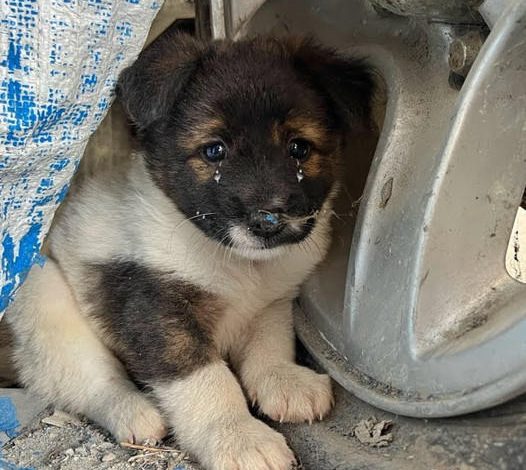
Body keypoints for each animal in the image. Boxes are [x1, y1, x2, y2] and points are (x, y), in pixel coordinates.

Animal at [5, 30, 376, 470]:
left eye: (299, 148)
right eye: (214, 150)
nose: (269, 222)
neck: (237, 264)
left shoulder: (270, 302)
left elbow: (270, 344)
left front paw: (284, 381)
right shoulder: (156, 310)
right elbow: (207, 381)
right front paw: (239, 439)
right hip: (44, 300)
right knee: (88, 380)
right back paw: (136, 412)